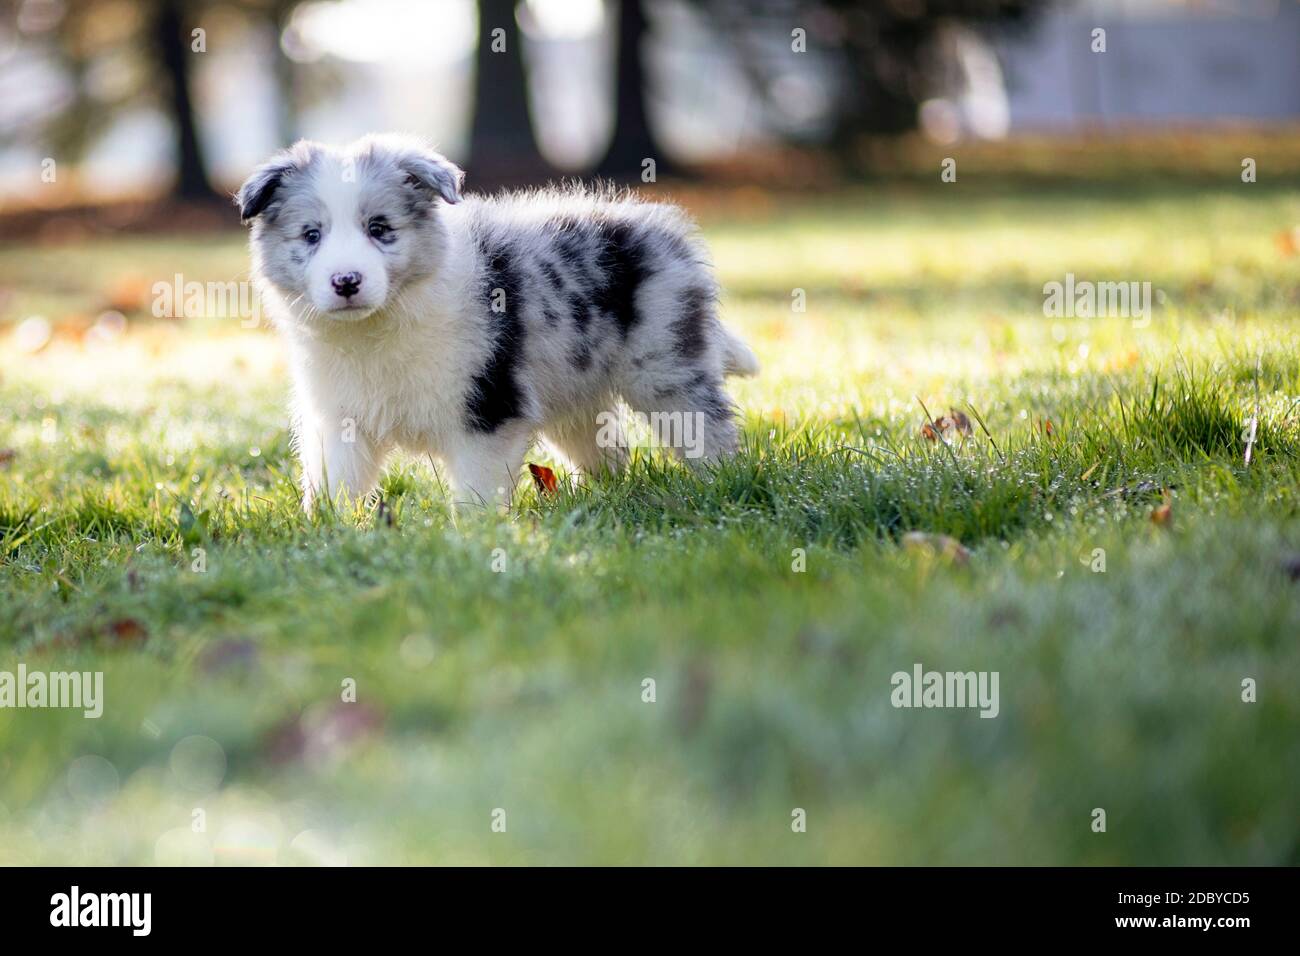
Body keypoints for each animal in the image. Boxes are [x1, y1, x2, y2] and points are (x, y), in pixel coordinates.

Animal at [239, 135, 759, 512]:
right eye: (311, 235)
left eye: (380, 228)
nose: (346, 281)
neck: (375, 330)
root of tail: (661, 226)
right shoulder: (341, 418)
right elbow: (335, 483)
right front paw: (324, 531)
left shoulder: (487, 409)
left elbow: (477, 491)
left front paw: (474, 539)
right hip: (573, 388)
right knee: (606, 450)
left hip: (666, 367)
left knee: (707, 428)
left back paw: (721, 483)